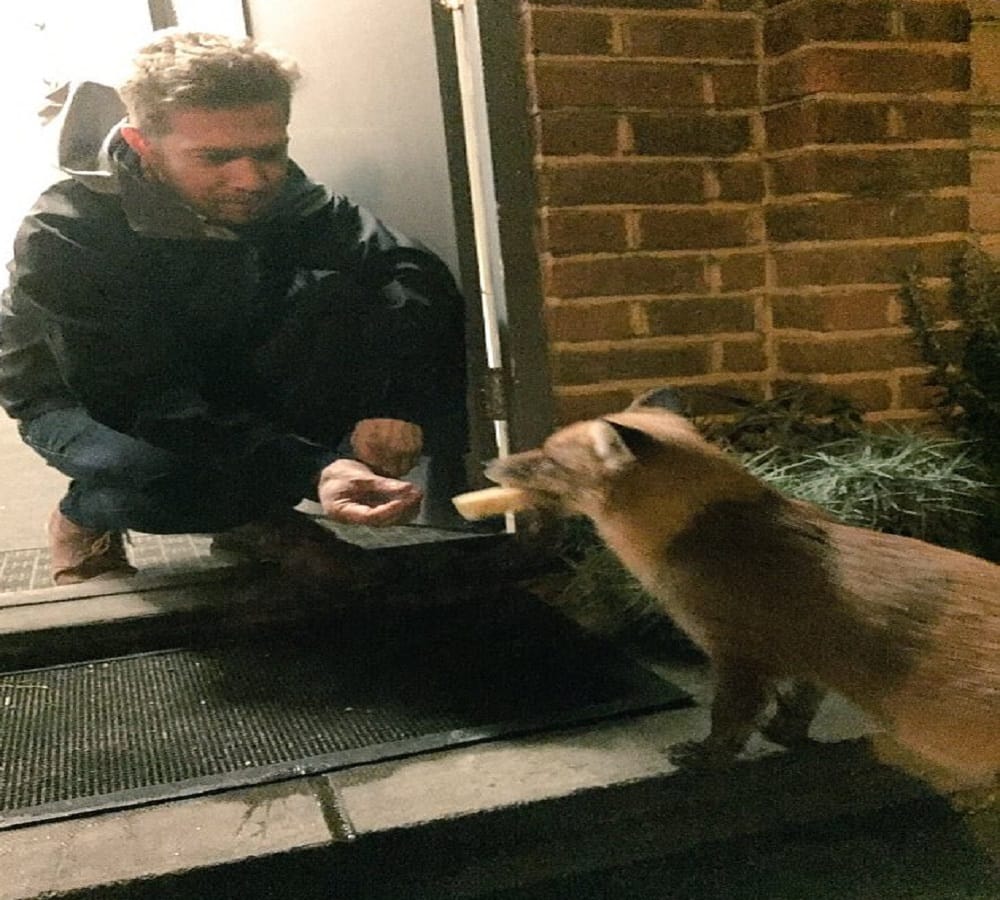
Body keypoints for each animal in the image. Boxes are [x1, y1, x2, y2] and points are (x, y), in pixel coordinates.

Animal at [487, 389, 1000, 787]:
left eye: (549, 458)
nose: (491, 461)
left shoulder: (741, 656)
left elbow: (729, 724)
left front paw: (704, 759)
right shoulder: (807, 659)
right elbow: (799, 706)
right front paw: (785, 737)